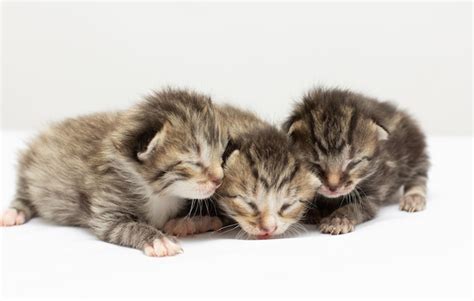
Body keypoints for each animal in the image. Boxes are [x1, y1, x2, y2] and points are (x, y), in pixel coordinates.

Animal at [0, 87, 228, 255]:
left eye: (220, 155)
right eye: (193, 162)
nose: (219, 179)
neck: (158, 193)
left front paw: (191, 222)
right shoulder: (107, 207)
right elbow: (125, 227)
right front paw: (158, 239)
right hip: (31, 171)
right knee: (24, 194)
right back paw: (13, 213)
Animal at [284, 86, 432, 234]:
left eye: (353, 163)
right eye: (315, 164)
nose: (333, 187)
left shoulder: (375, 190)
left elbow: (357, 206)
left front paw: (338, 220)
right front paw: (310, 212)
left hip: (415, 150)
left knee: (418, 176)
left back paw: (413, 198)